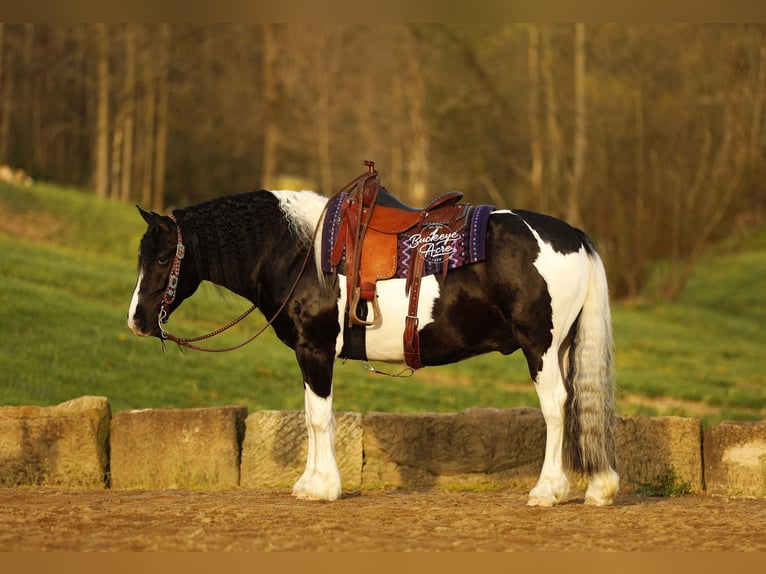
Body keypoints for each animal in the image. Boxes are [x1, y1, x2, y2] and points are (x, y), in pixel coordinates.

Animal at [127, 181, 619, 507]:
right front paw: (310, 483)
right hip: (561, 347)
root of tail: (574, 235)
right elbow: (310, 416)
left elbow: (319, 418)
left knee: (555, 406)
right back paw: (597, 487)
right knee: (578, 404)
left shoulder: (315, 349)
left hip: (540, 346)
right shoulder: (308, 353)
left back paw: (547, 490)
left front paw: (323, 487)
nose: (137, 320)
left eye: (163, 257)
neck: (296, 251)